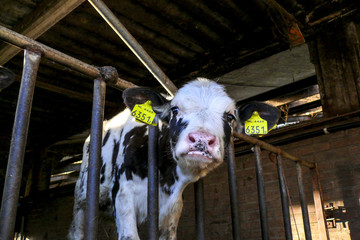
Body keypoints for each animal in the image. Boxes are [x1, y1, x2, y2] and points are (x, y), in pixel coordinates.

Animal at [68, 78, 282, 239]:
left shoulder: (173, 207)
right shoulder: (123, 194)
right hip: (82, 196)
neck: (162, 176)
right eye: (175, 110)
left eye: (230, 117)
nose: (201, 139)